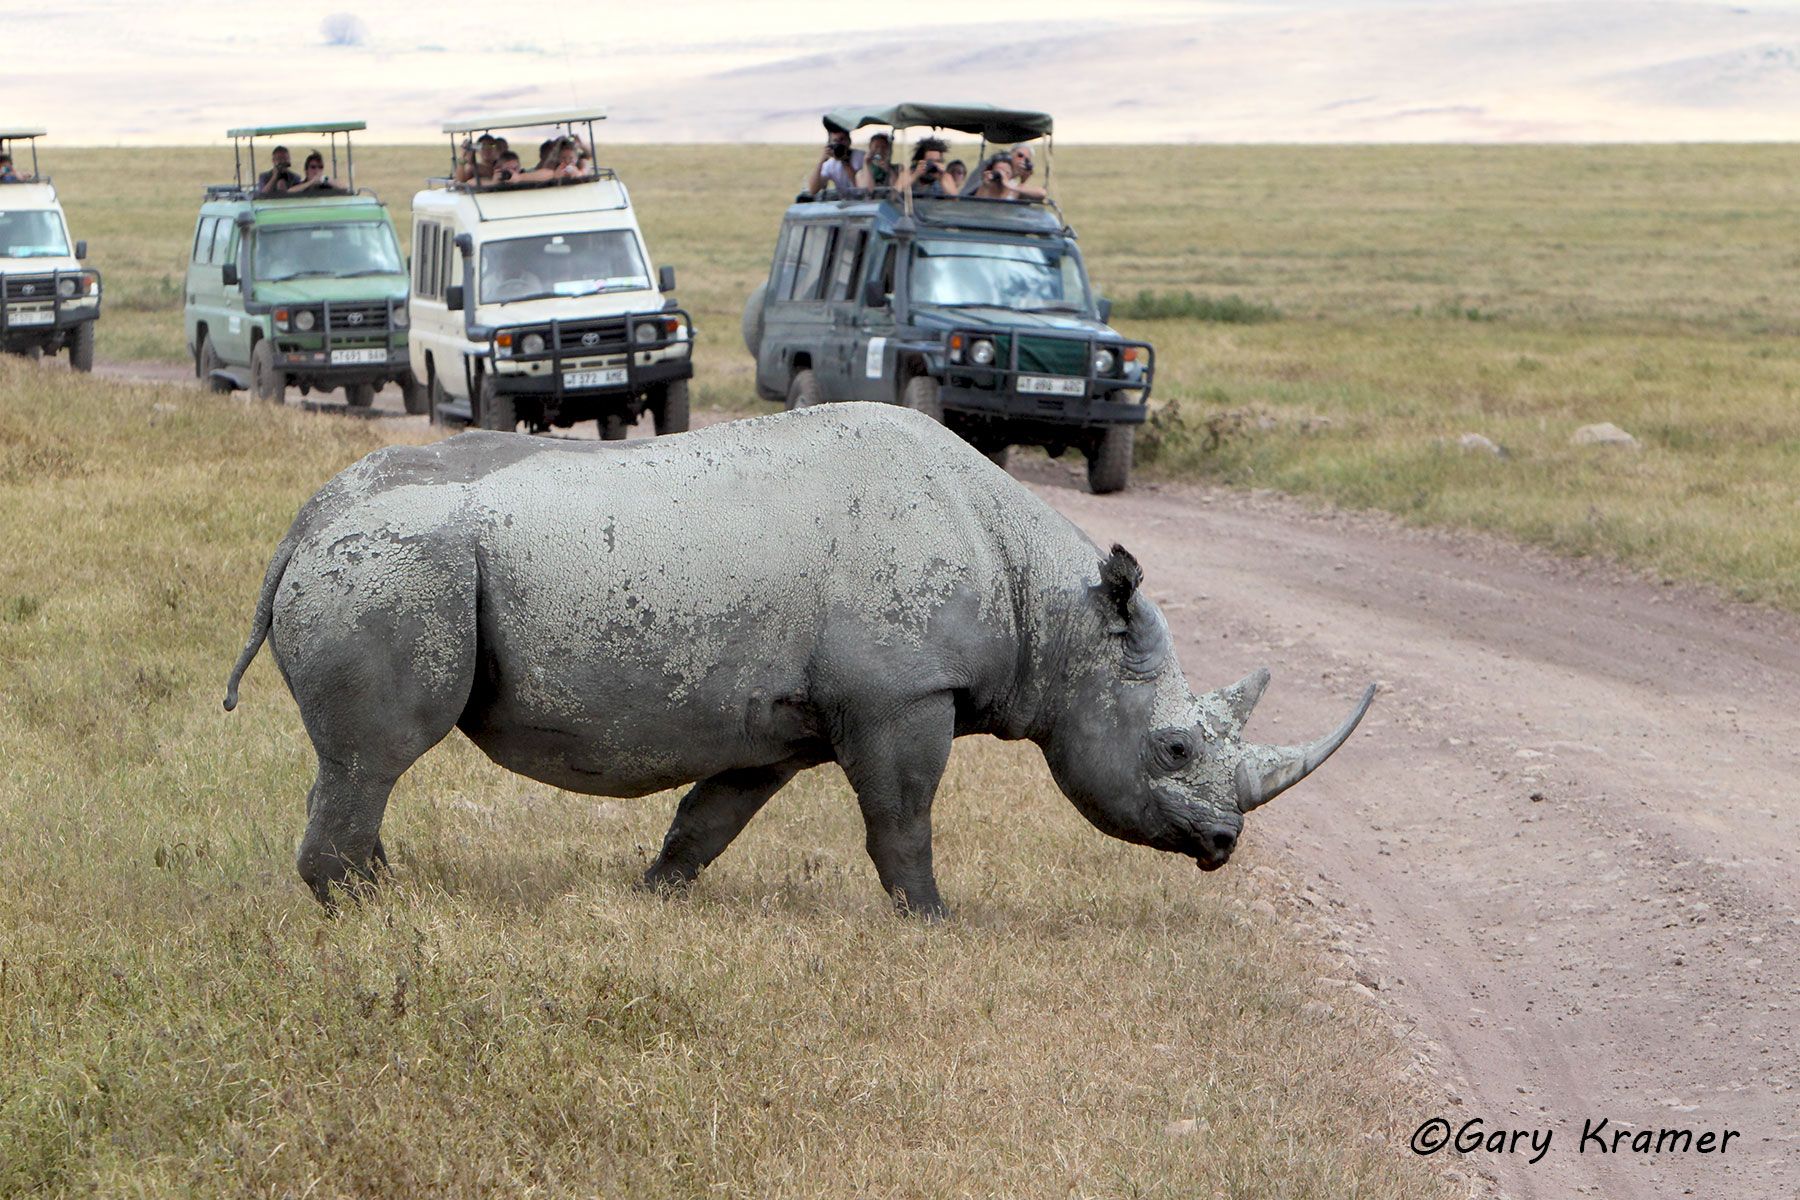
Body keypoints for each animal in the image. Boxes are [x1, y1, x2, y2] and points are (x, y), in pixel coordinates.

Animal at [225, 403, 1373, 916]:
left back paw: (388, 894)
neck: (1053, 604)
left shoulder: (776, 723)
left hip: (386, 559)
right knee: (376, 758)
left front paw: (655, 899)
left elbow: (709, 818)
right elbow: (902, 820)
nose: (1223, 844)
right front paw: (932, 923)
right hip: (399, 565)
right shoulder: (902, 695)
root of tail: (303, 523)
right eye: (1174, 747)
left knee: (364, 766)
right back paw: (374, 912)